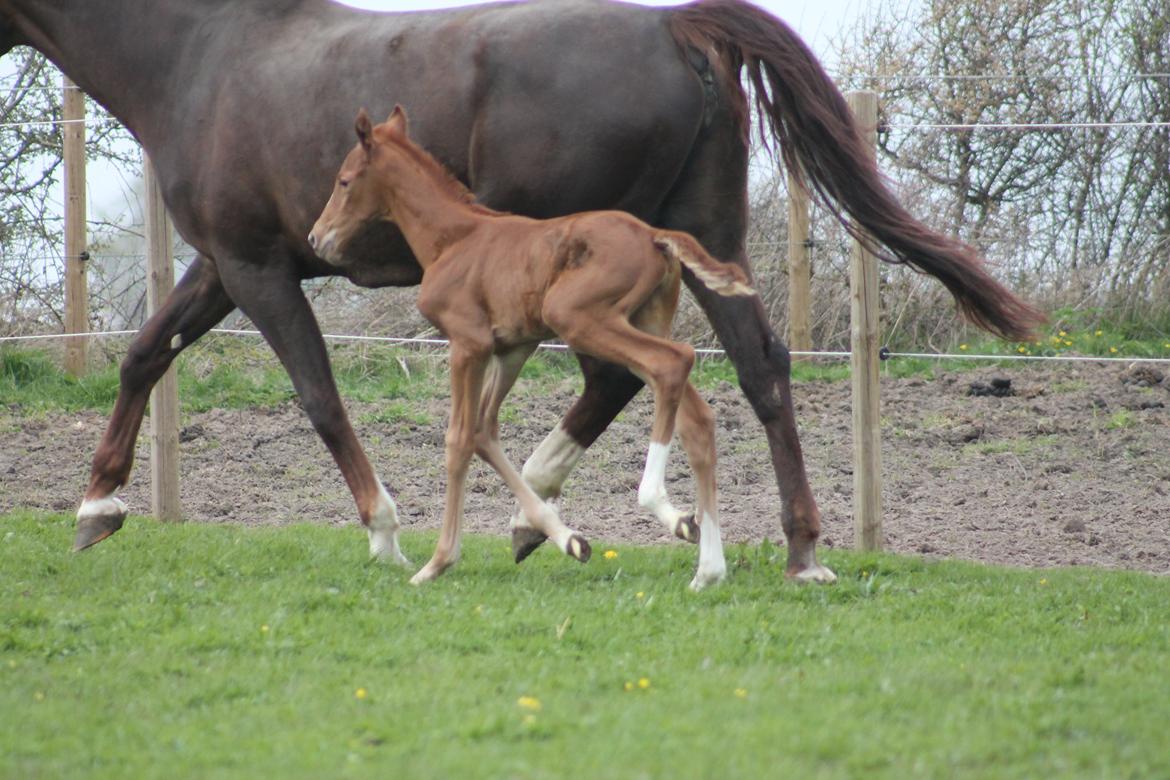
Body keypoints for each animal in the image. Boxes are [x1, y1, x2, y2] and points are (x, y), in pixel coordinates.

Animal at [306, 107, 753, 589]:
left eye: (344, 180)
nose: (316, 237)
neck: (454, 240)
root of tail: (654, 234)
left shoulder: (467, 343)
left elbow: (458, 440)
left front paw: (438, 562)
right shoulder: (513, 347)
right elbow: (484, 432)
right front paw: (566, 539)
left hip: (579, 317)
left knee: (673, 362)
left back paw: (659, 504)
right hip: (646, 318)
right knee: (697, 418)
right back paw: (706, 566)